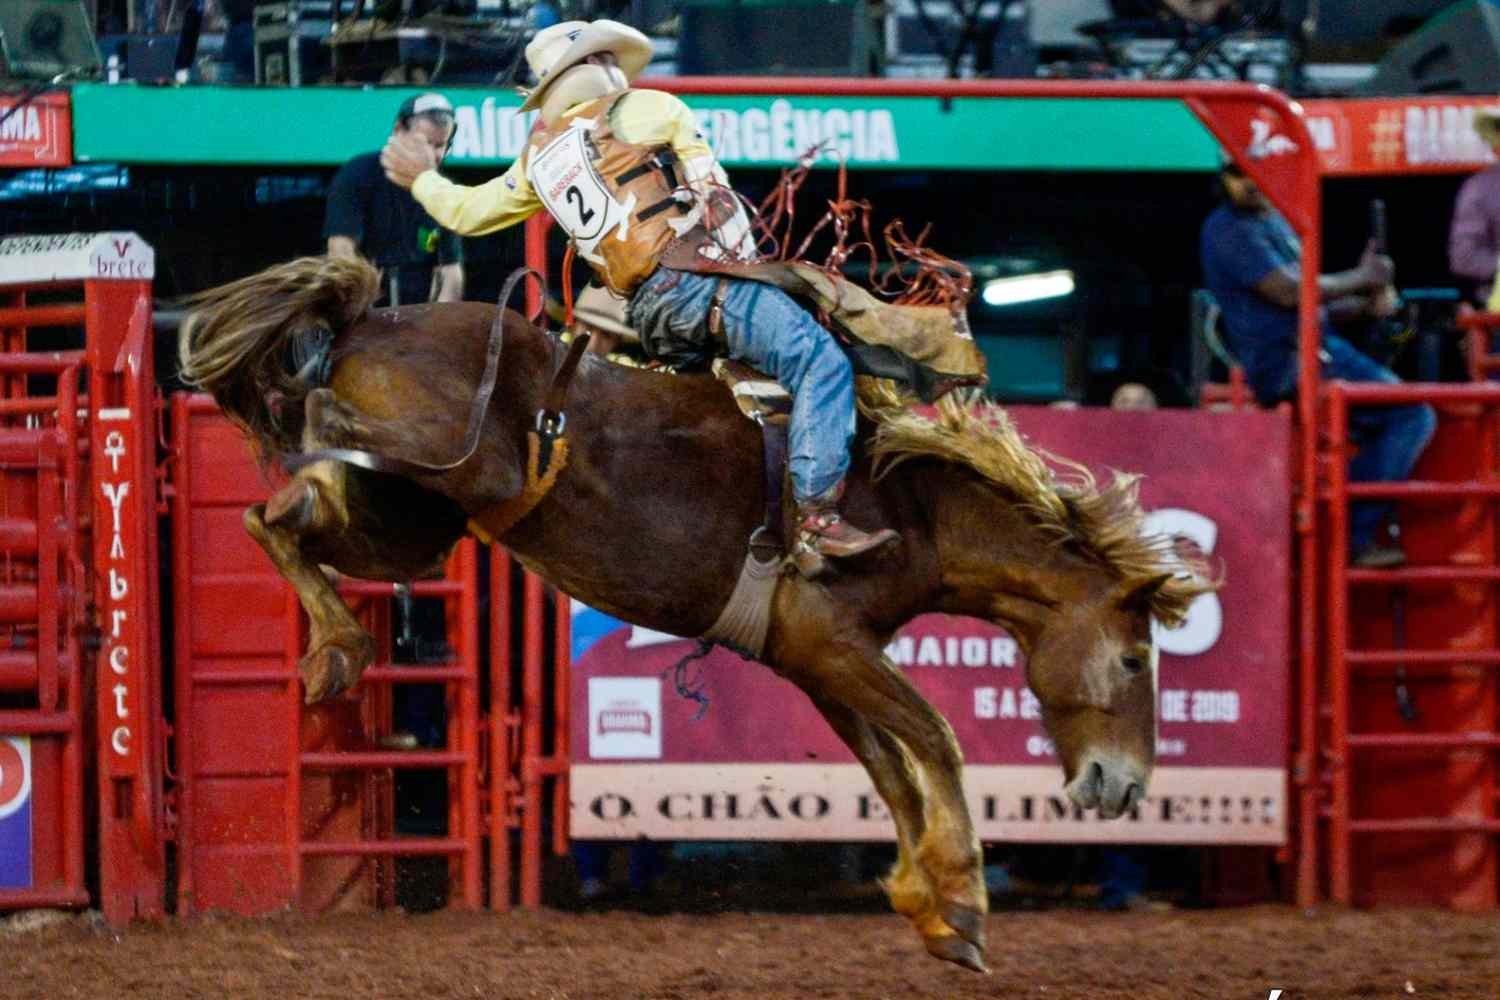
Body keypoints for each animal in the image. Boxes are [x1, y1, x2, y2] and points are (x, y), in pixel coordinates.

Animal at [181, 254, 1212, 971]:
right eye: (1133, 660)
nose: (1123, 787)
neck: (902, 503)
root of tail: (369, 319)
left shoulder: (816, 660)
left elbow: (893, 769)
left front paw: (930, 909)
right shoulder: (836, 645)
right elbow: (937, 741)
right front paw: (963, 903)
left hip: (412, 524)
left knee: (277, 518)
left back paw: (337, 646)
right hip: (438, 475)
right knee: (303, 484)